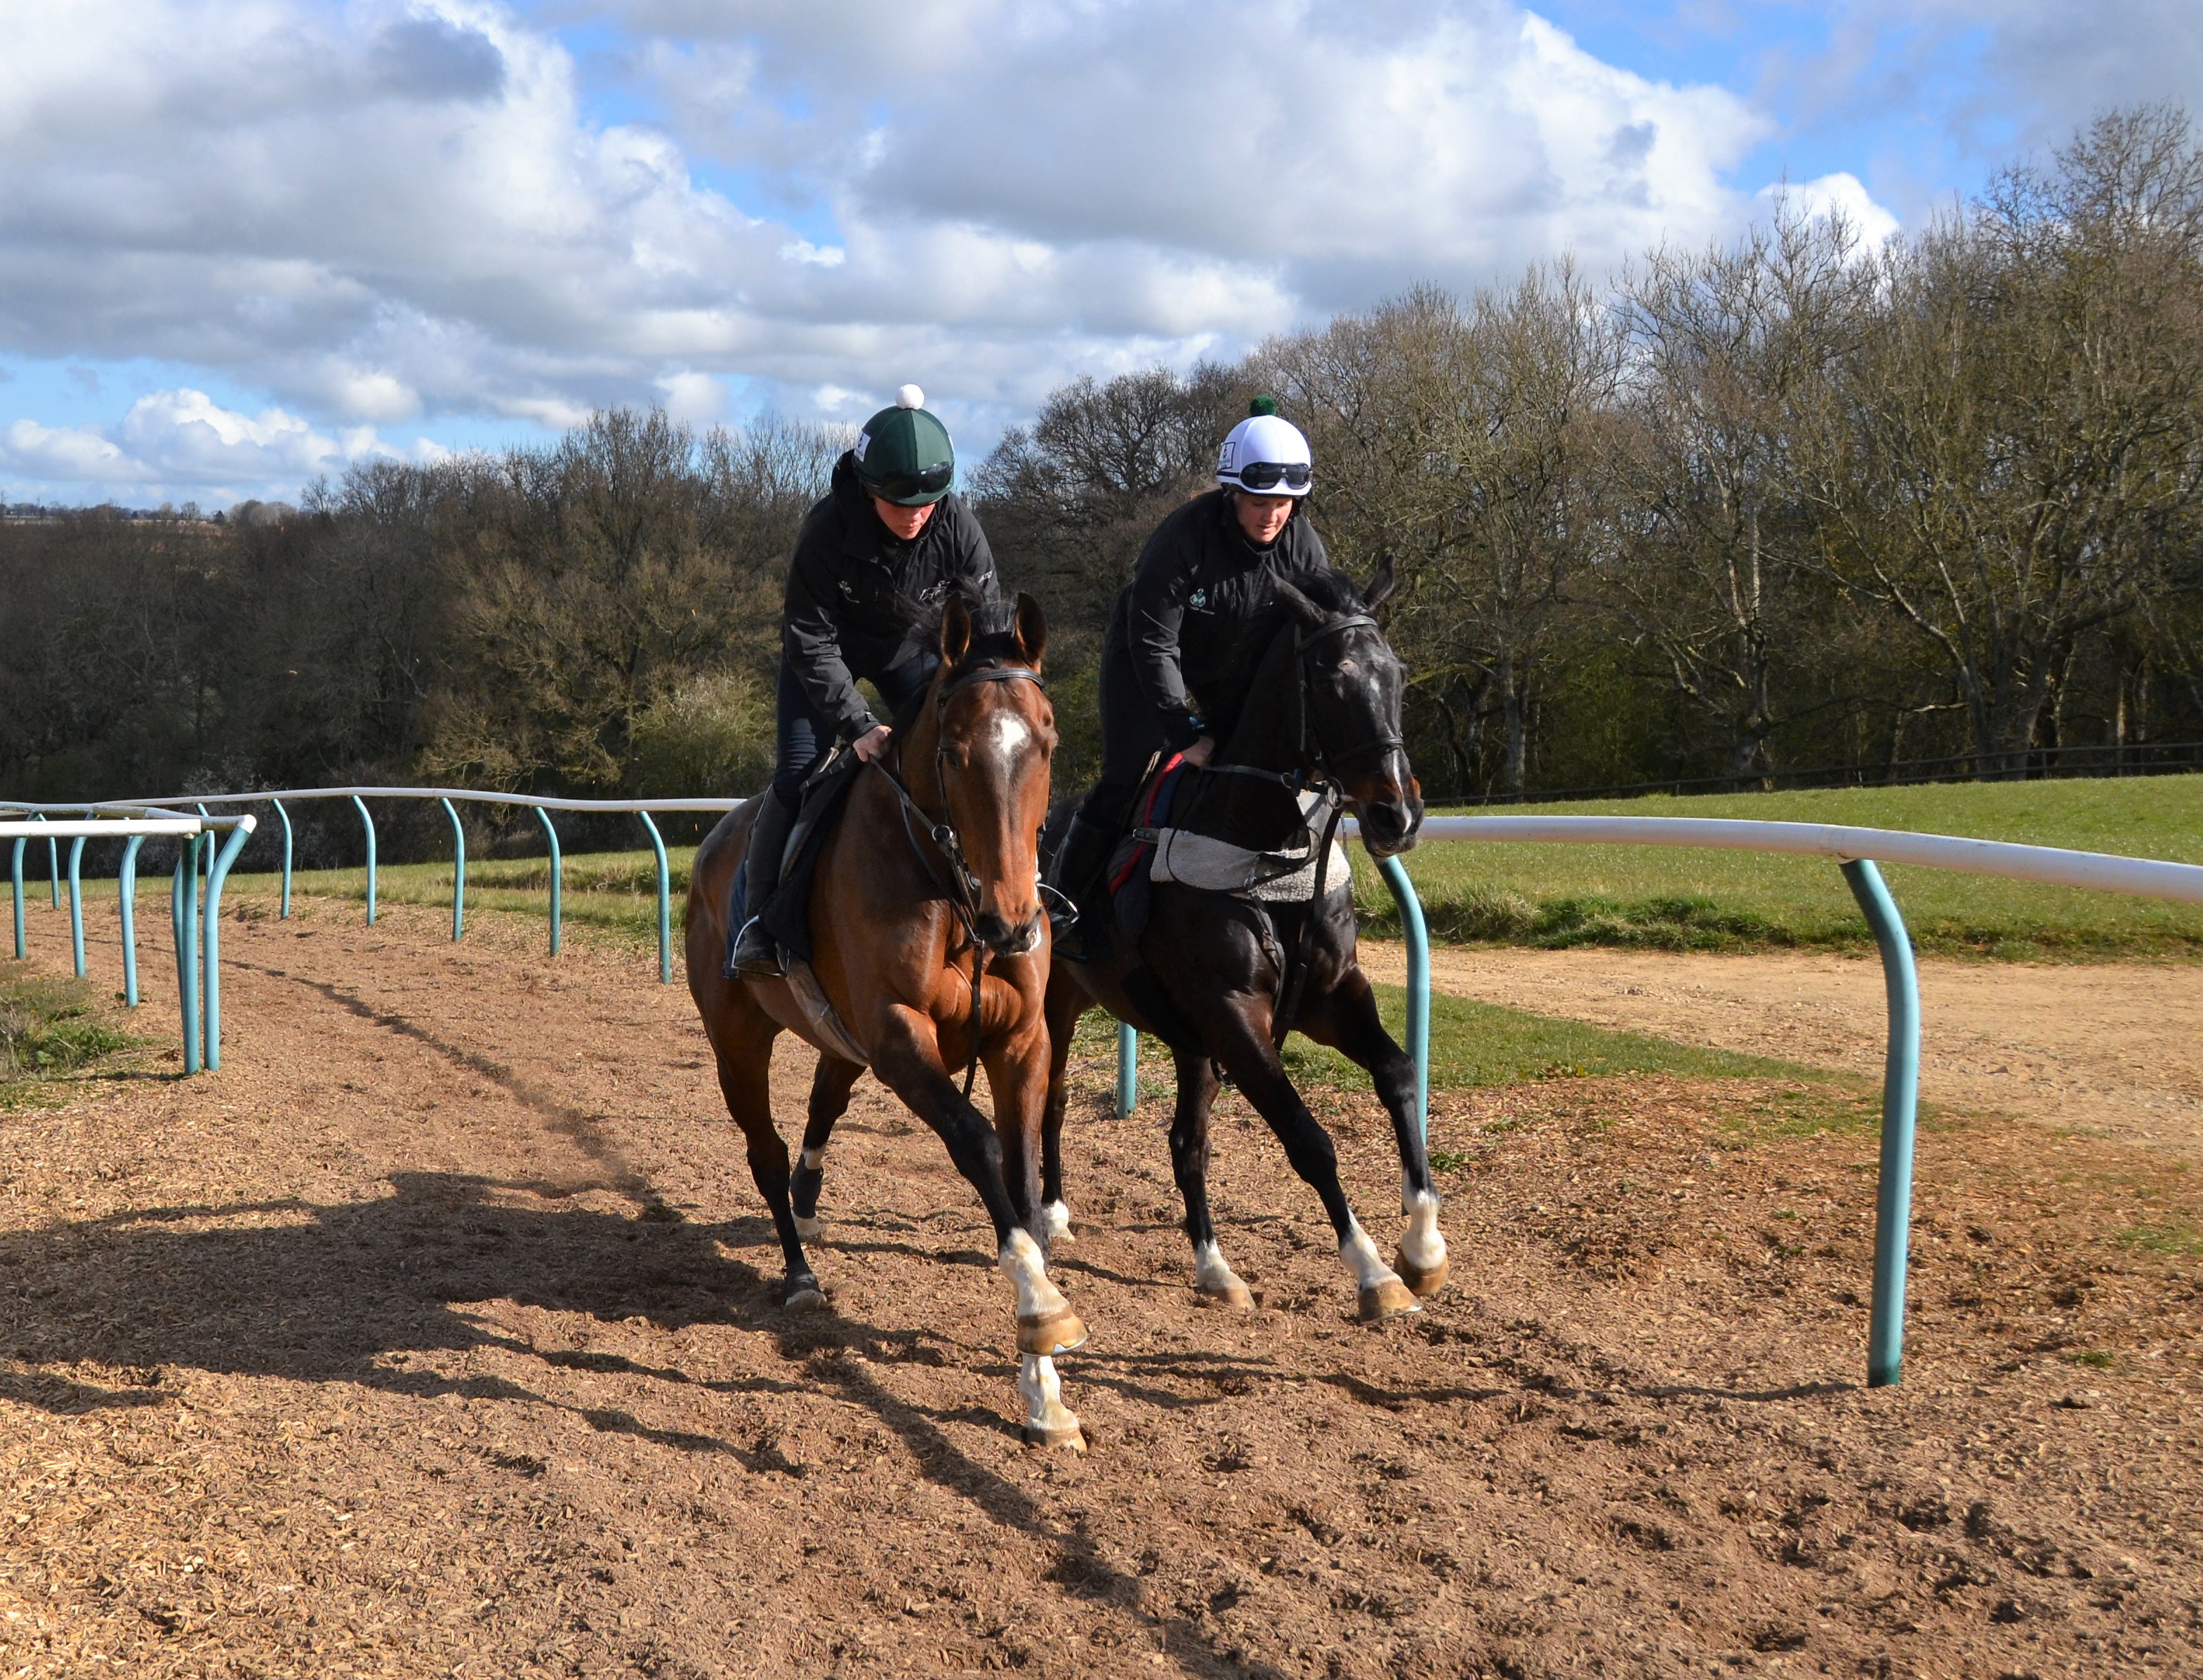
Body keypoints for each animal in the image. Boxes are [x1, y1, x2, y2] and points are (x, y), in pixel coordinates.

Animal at [682, 590, 1088, 1444]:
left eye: (1046, 741)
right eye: (954, 752)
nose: (1013, 922)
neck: (952, 892)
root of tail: (713, 843)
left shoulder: (1021, 1039)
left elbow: (1022, 1175)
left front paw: (1045, 1389)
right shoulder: (901, 1032)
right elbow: (977, 1141)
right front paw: (1042, 1309)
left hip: (843, 1037)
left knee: (822, 1103)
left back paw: (809, 1196)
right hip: (737, 1039)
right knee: (764, 1149)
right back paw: (799, 1269)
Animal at [1044, 563, 1445, 1330]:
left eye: (1399, 675)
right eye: (1330, 681)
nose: (1398, 814)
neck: (1264, 848)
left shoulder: (1328, 996)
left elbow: (1399, 1073)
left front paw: (1423, 1243)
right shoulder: (1232, 1011)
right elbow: (1309, 1138)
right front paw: (1374, 1270)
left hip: (1191, 1041)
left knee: (1186, 1143)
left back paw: (1214, 1266)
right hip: (1056, 1002)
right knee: (1045, 1099)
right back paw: (1048, 1213)